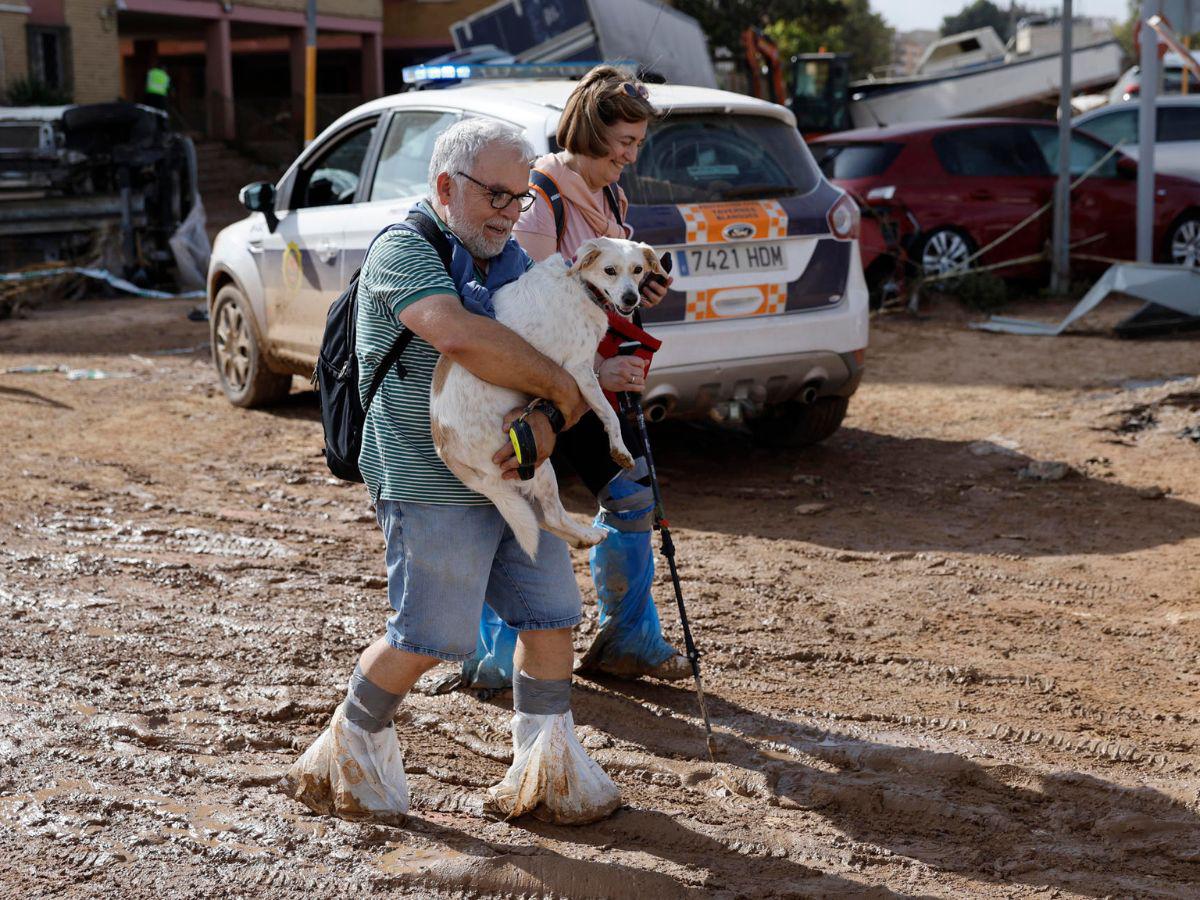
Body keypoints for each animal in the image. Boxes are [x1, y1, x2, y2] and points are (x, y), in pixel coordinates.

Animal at [429, 237, 667, 564]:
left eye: (638, 269)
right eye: (610, 270)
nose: (631, 299)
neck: (581, 286)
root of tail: (445, 446)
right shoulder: (579, 369)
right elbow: (609, 414)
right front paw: (620, 450)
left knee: (543, 519)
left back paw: (583, 538)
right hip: (535, 459)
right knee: (552, 515)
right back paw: (590, 535)